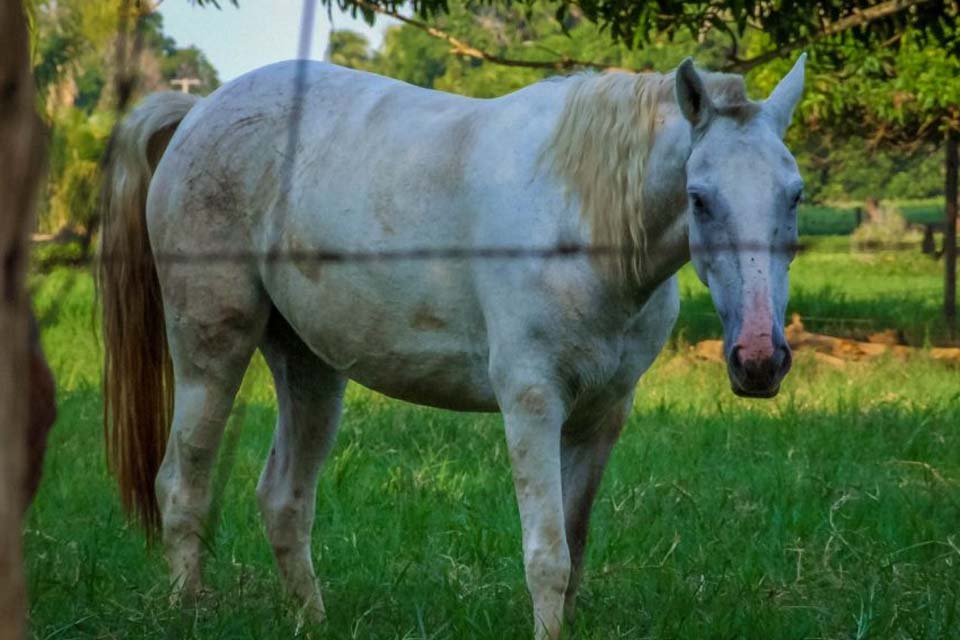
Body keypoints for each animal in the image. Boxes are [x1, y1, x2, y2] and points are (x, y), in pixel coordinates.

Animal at [95, 56, 804, 640]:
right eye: (699, 199)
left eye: (794, 196)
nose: (759, 360)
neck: (584, 219)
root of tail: (199, 111)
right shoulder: (532, 403)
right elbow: (548, 556)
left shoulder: (602, 415)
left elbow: (574, 549)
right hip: (211, 351)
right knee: (181, 485)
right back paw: (190, 608)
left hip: (311, 369)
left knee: (284, 500)